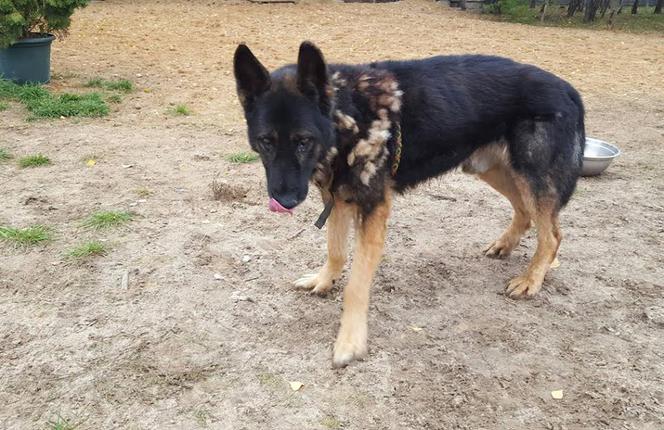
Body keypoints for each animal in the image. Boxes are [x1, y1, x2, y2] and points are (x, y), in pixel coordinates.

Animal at [233, 42, 588, 368]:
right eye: (266, 141)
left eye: (303, 141)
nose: (285, 200)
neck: (348, 115)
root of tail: (568, 88)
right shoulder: (340, 199)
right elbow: (335, 251)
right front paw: (323, 281)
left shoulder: (372, 209)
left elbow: (356, 286)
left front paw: (350, 341)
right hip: (491, 168)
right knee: (526, 214)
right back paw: (505, 245)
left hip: (529, 177)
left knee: (551, 234)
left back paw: (531, 280)